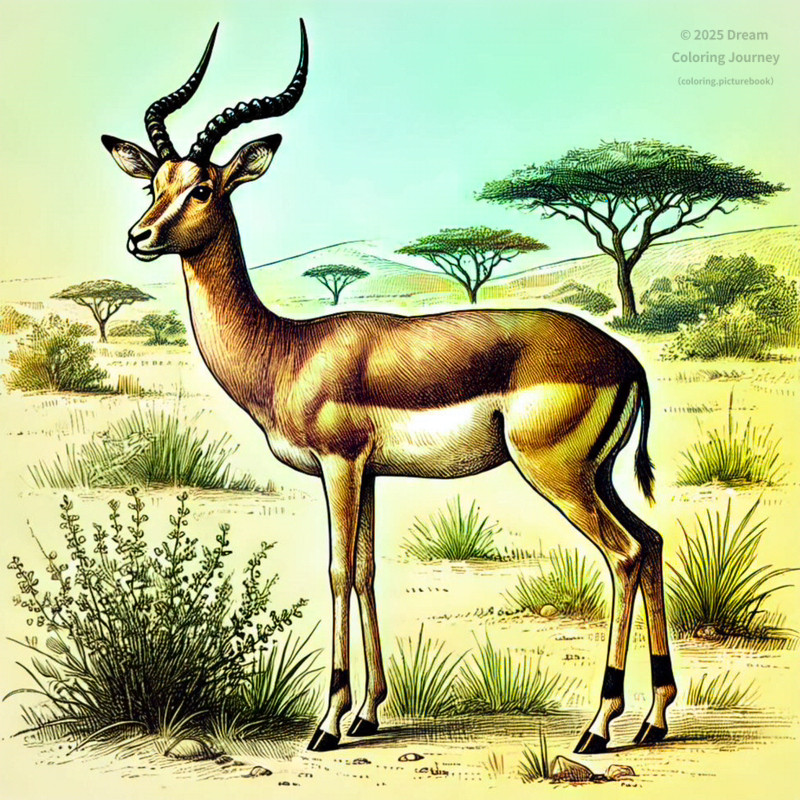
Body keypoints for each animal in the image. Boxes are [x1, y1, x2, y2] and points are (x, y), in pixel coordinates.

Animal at [102, 21, 677, 754]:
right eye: (154, 182)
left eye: (204, 187)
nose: (138, 236)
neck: (288, 350)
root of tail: (625, 359)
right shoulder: (370, 473)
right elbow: (370, 571)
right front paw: (369, 713)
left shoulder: (339, 465)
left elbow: (338, 571)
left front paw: (327, 724)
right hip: (596, 474)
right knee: (652, 543)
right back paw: (655, 719)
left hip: (559, 474)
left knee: (625, 554)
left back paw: (600, 726)